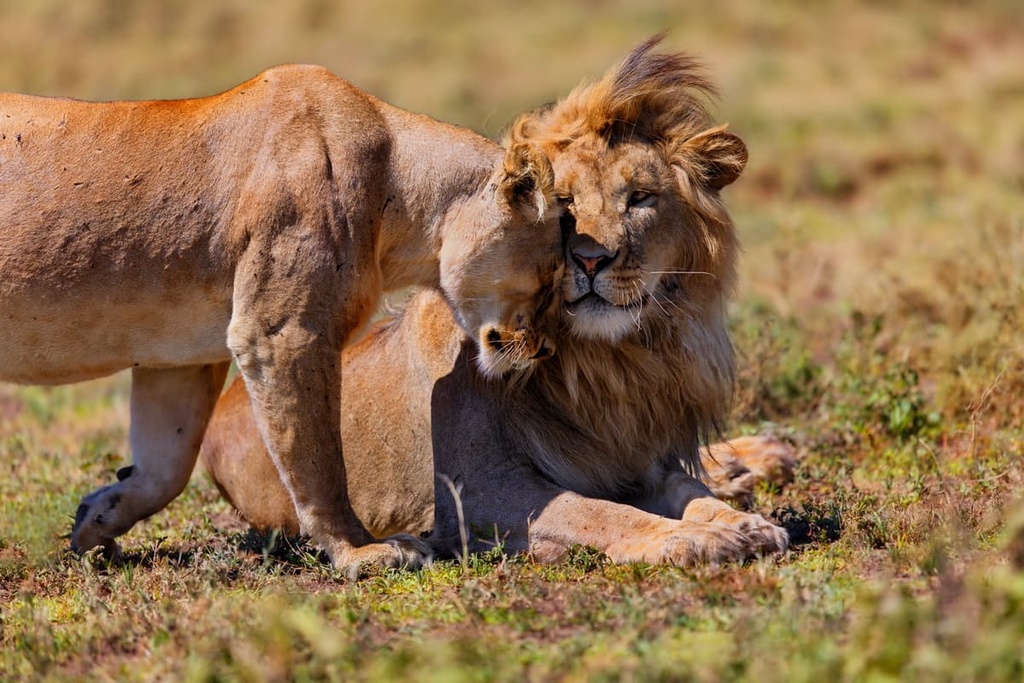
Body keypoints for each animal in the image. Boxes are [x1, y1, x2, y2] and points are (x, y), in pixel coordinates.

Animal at [0, 64, 563, 572]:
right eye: (555, 275)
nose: (545, 349)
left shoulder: (178, 358)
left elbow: (166, 466)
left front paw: (95, 521)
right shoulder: (282, 334)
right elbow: (318, 459)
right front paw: (361, 551)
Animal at [201, 38, 793, 567]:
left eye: (641, 198)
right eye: (565, 203)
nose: (591, 260)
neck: (609, 364)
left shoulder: (636, 460)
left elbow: (690, 491)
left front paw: (742, 523)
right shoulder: (475, 491)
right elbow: (597, 512)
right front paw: (688, 539)